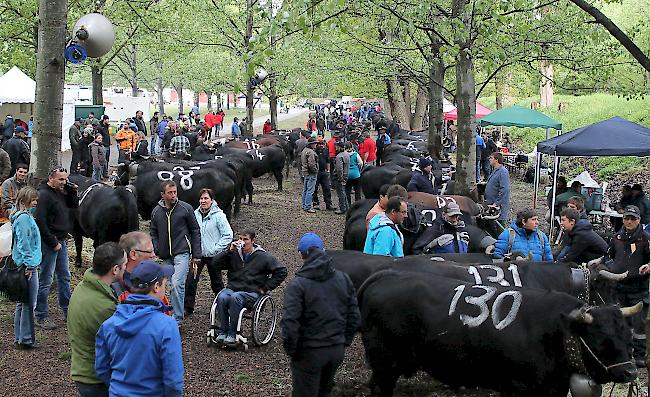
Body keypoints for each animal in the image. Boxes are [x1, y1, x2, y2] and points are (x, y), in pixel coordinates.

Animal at [360, 270, 636, 396]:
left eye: (628, 336)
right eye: (601, 338)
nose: (631, 372)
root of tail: (388, 274)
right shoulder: (516, 387)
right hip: (385, 363)